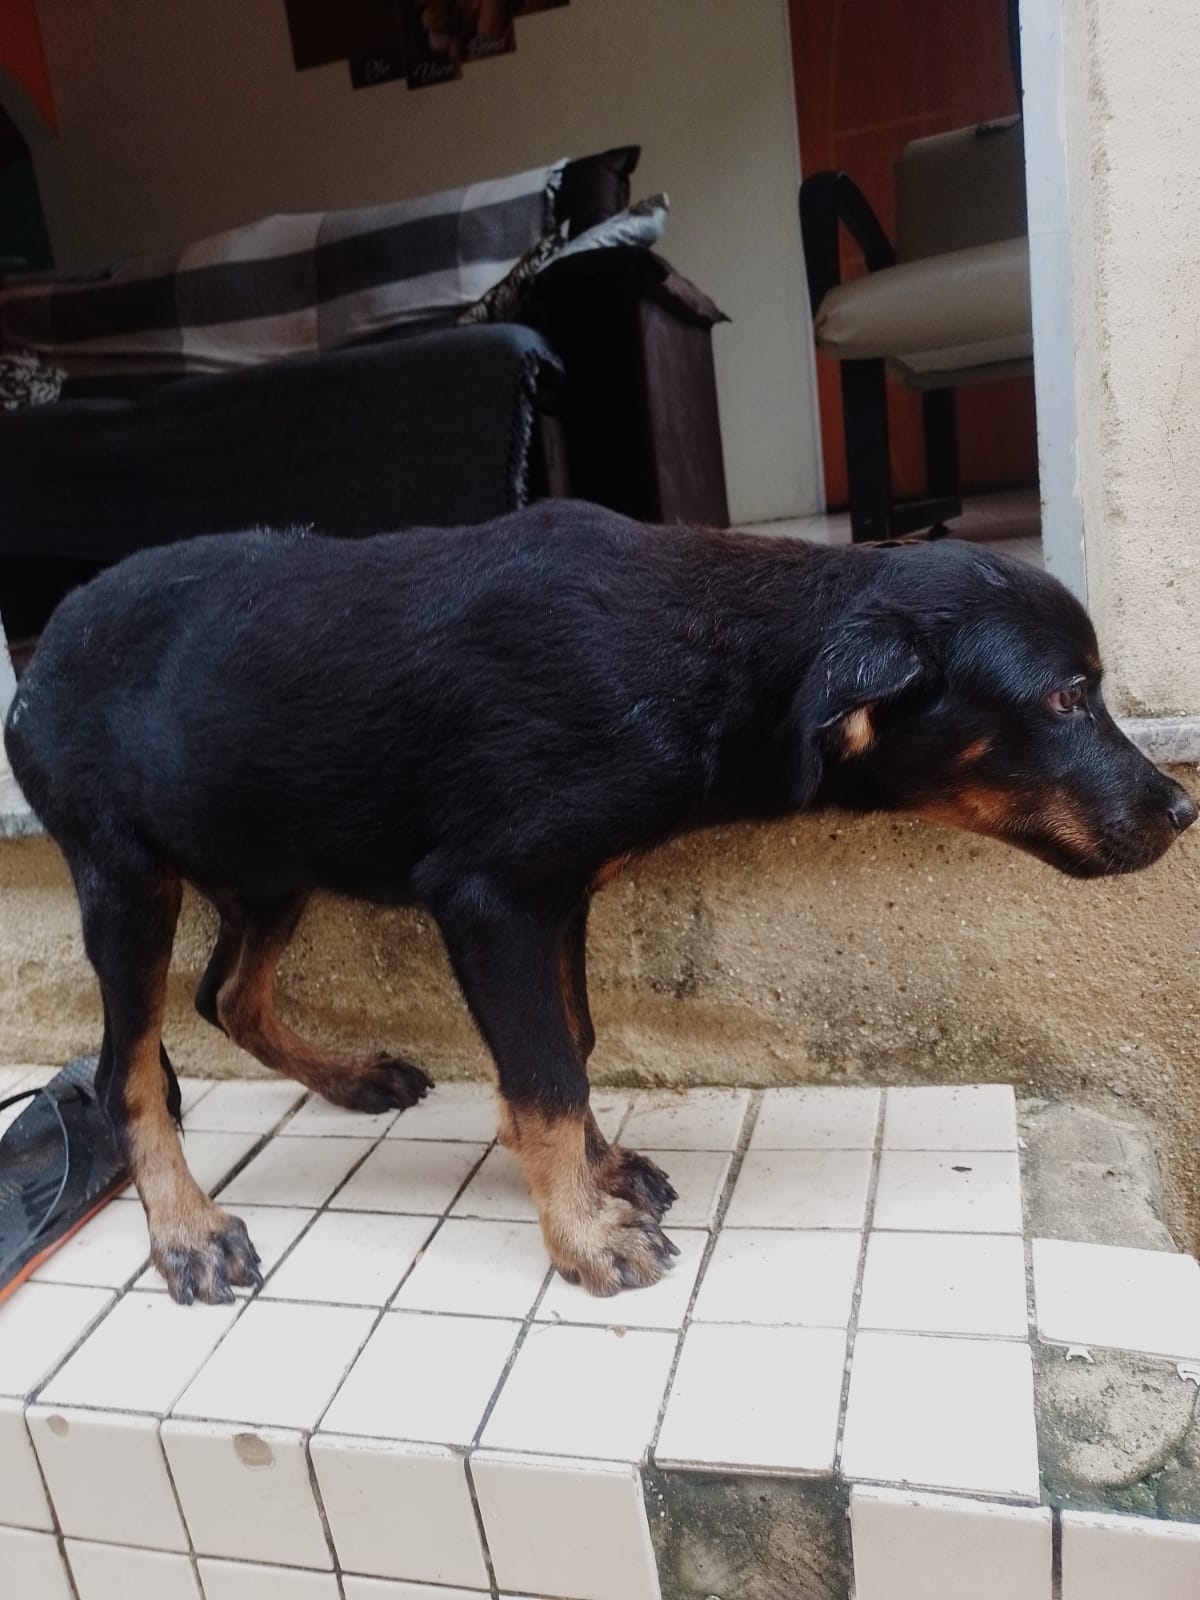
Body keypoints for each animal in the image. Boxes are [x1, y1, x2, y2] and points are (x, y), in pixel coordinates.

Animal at [4, 499, 1196, 1299]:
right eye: (1064, 698)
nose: (1184, 808)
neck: (705, 653)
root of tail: (43, 644)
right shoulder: (489, 895)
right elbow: (542, 1074)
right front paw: (583, 1233)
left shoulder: (563, 892)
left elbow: (570, 1044)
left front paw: (599, 1169)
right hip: (125, 876)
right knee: (127, 1071)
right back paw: (187, 1229)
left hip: (266, 857)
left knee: (227, 996)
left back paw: (349, 1077)